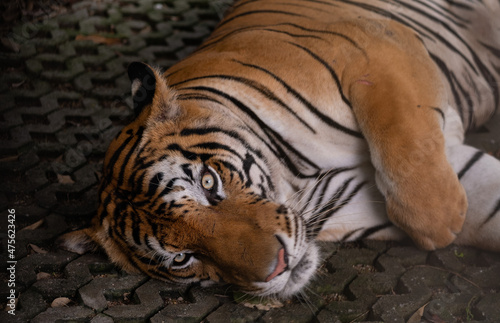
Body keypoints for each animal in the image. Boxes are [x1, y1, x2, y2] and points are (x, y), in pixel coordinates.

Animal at [60, 0, 500, 298]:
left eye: (208, 183)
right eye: (182, 258)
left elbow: (418, 193)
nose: (279, 268)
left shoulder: (374, 45)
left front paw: (448, 217)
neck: (298, 177)